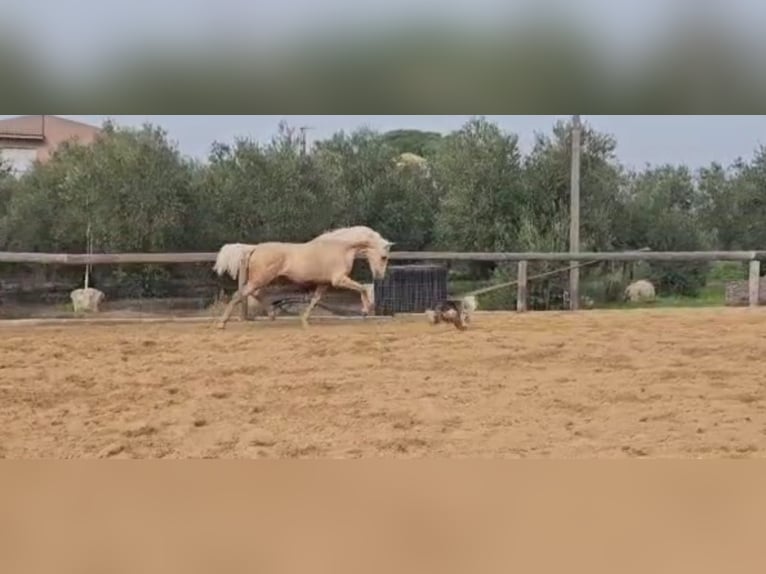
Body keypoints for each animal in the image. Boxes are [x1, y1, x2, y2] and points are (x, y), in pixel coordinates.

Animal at [214, 228, 396, 328]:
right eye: (384, 257)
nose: (379, 276)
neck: (342, 247)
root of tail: (255, 248)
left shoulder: (324, 284)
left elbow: (315, 299)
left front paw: (304, 321)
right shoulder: (339, 280)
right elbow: (362, 288)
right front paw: (366, 309)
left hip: (261, 280)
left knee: (253, 294)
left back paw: (272, 314)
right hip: (260, 279)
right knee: (239, 294)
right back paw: (221, 323)